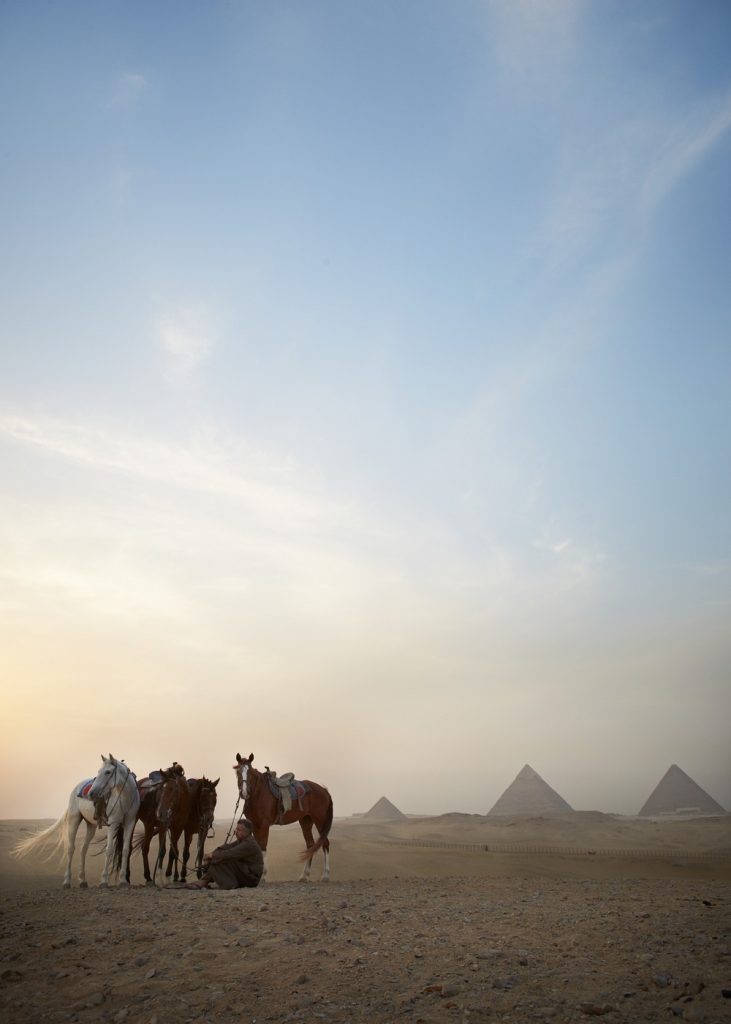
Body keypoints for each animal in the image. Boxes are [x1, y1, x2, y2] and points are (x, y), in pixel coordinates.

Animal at [11, 753, 139, 888]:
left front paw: (123, 880)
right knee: (71, 848)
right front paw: (104, 880)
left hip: (91, 825)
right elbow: (109, 850)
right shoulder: (112, 824)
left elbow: (126, 850)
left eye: (108, 772)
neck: (125, 798)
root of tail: (76, 788)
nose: (91, 793)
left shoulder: (130, 823)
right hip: (74, 819)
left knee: (83, 849)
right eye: (99, 771)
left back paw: (82, 880)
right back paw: (67, 881)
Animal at [232, 749, 331, 884]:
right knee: (310, 845)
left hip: (320, 820)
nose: (244, 793)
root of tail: (324, 790)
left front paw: (262, 876)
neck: (259, 793)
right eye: (238, 772)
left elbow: (263, 847)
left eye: (250, 773)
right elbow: (256, 846)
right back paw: (304, 876)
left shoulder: (264, 825)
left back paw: (325, 876)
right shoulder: (254, 824)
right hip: (306, 821)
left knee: (325, 843)